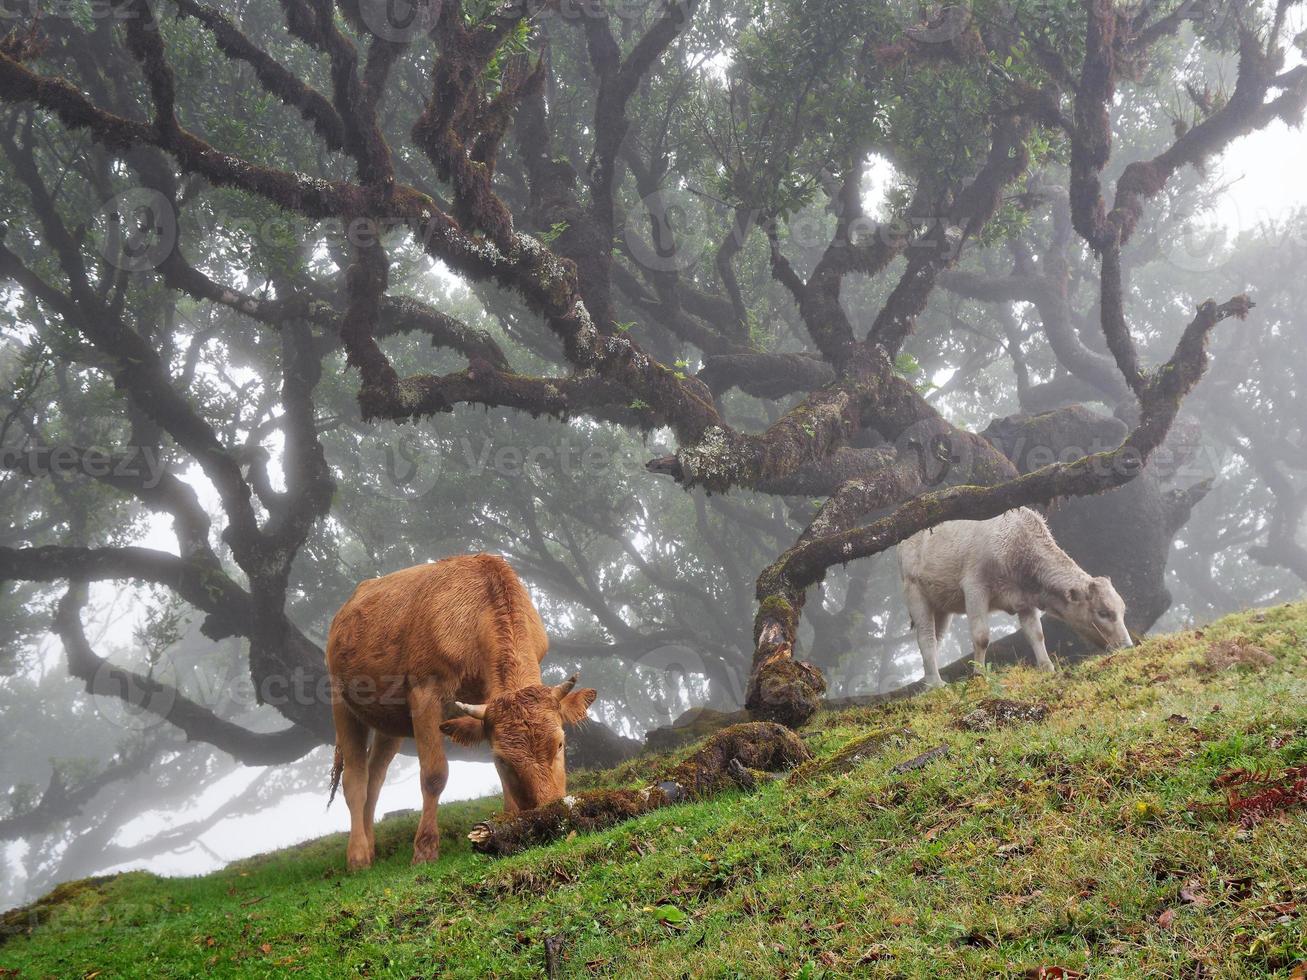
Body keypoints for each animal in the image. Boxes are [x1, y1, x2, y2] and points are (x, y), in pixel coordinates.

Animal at [325, 556, 598, 872]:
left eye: (560, 743)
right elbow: (433, 774)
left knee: (375, 776)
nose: (551, 814)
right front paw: (424, 850)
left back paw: (370, 846)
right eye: (502, 759)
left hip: (388, 722)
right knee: (354, 778)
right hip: (340, 700)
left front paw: (508, 823)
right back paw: (358, 856)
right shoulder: (424, 693)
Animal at [904, 509, 1129, 684]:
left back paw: (931, 681)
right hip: (914, 592)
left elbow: (1036, 634)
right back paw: (936, 684)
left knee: (936, 640)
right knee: (926, 639)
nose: (1127, 645)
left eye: (1122, 611)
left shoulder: (1025, 601)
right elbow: (981, 636)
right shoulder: (975, 587)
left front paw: (1047, 668)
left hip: (942, 605)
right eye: (1103, 612)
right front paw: (979, 674)